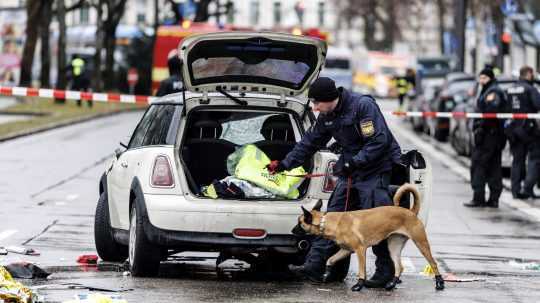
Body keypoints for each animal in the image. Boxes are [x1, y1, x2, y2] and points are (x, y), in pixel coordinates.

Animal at [294, 183, 446, 292]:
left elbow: (362, 270)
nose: (292, 230)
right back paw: (391, 284)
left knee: (433, 263)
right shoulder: (346, 250)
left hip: (421, 243)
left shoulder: (360, 250)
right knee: (399, 267)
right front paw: (326, 273)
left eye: (300, 223)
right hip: (393, 246)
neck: (327, 222)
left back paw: (439, 283)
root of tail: (410, 212)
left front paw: (359, 285)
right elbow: (330, 260)